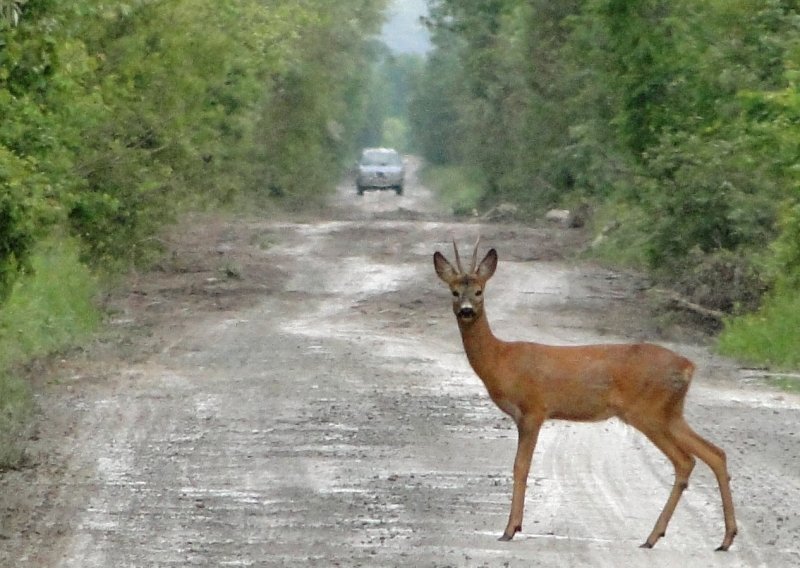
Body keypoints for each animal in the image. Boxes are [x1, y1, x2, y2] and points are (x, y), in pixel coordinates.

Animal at [432, 239, 736, 552]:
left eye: (479, 291)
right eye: (454, 291)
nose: (466, 310)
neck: (501, 360)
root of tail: (688, 367)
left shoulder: (533, 409)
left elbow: (520, 466)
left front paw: (510, 529)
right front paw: (513, 526)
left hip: (647, 411)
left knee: (685, 460)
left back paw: (653, 537)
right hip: (671, 412)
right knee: (715, 453)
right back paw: (724, 538)